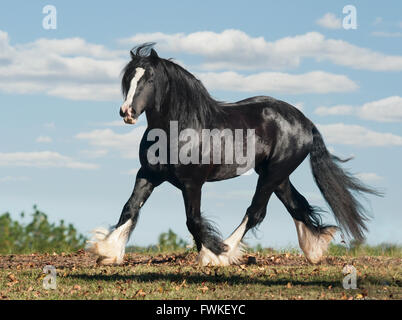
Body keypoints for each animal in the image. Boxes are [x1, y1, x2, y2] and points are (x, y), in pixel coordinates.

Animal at [86, 43, 378, 266]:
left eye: (149, 79)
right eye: (128, 79)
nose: (127, 112)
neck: (181, 128)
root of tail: (305, 122)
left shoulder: (192, 183)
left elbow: (193, 221)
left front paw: (213, 254)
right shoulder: (147, 174)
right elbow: (130, 208)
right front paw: (107, 251)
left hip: (272, 174)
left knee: (256, 212)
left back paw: (227, 250)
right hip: (276, 174)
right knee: (295, 204)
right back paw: (315, 249)